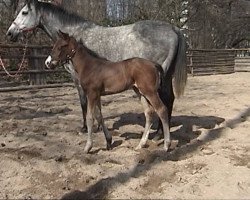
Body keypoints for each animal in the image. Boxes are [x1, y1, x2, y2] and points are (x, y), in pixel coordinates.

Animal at [6, 0, 188, 131]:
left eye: (24, 12)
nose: (9, 33)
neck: (75, 37)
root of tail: (174, 29)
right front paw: (99, 127)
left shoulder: (77, 79)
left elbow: (84, 103)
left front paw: (86, 128)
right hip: (166, 75)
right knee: (169, 99)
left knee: (164, 101)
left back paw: (159, 134)